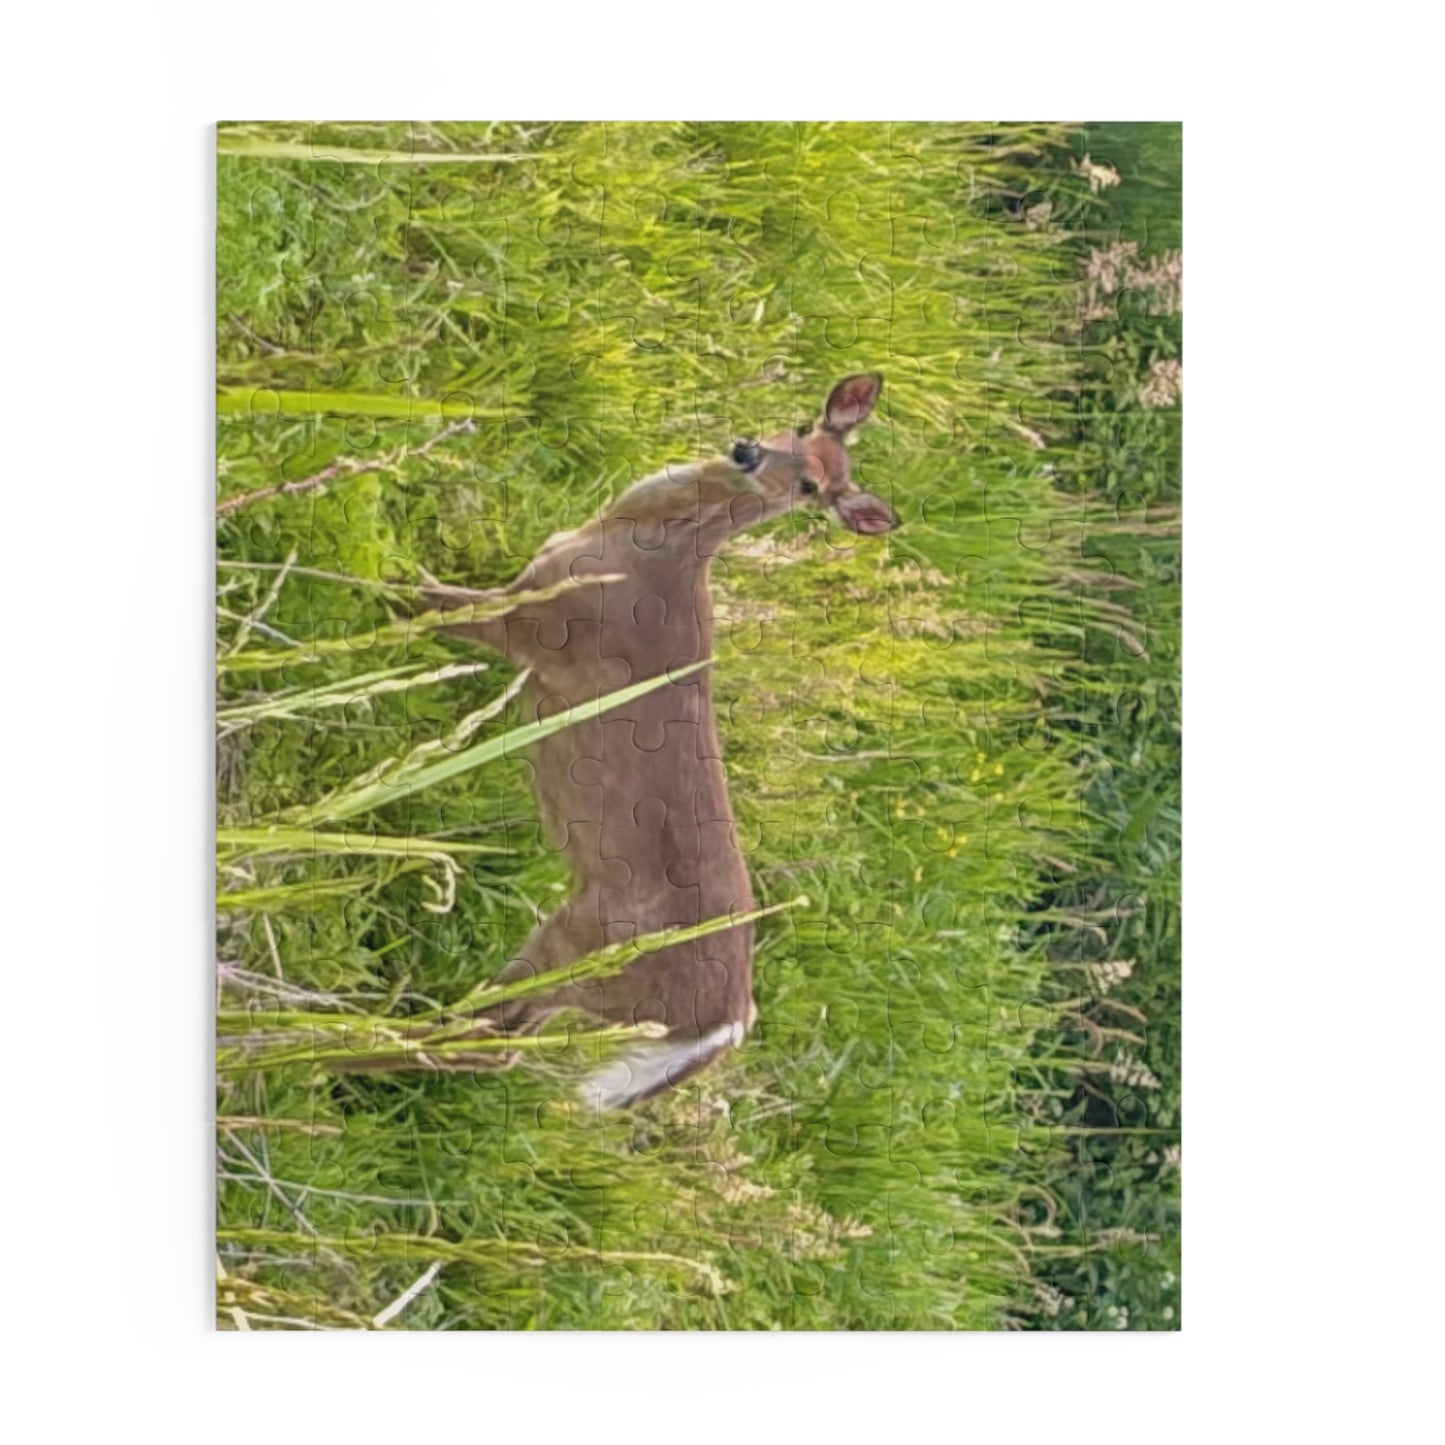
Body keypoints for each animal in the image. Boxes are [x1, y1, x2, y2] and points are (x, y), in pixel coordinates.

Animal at [424, 374, 895, 1108]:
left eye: (812, 488)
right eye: (800, 427)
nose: (747, 451)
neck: (636, 549)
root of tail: (726, 1024)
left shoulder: (533, 625)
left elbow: (420, 600)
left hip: (588, 946)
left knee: (488, 1036)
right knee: (504, 1039)